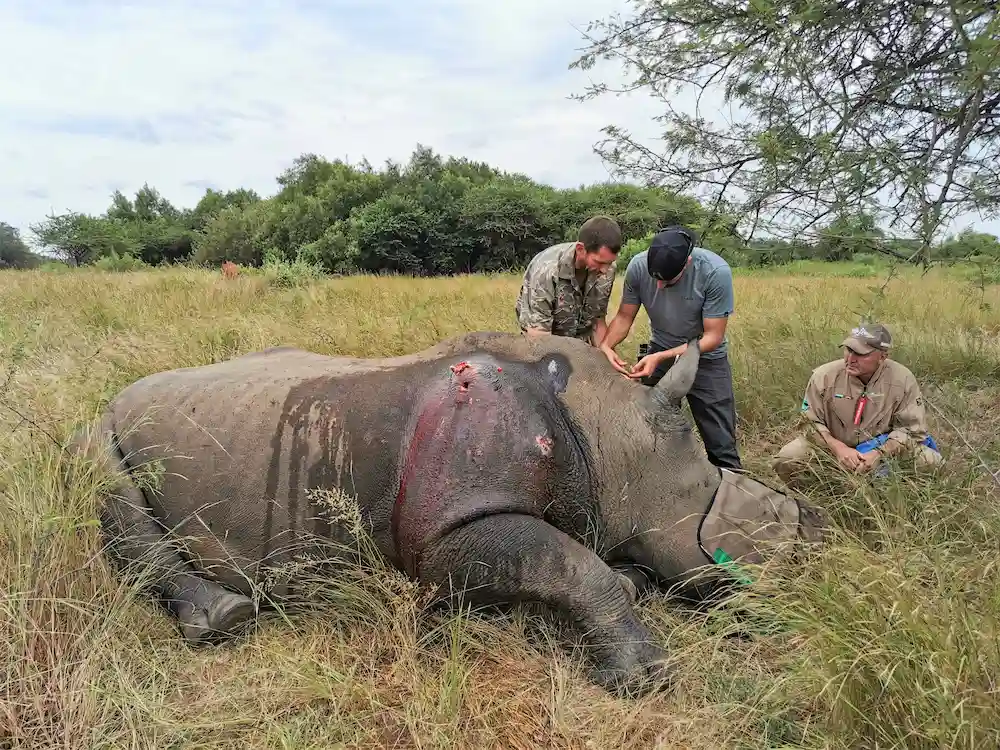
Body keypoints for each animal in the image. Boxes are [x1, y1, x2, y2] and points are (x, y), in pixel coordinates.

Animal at [68, 332, 827, 697]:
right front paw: (642, 679)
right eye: (750, 531)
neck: (615, 439)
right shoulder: (447, 529)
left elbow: (598, 569)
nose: (815, 541)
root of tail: (121, 393)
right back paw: (227, 619)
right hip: (103, 429)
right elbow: (574, 567)